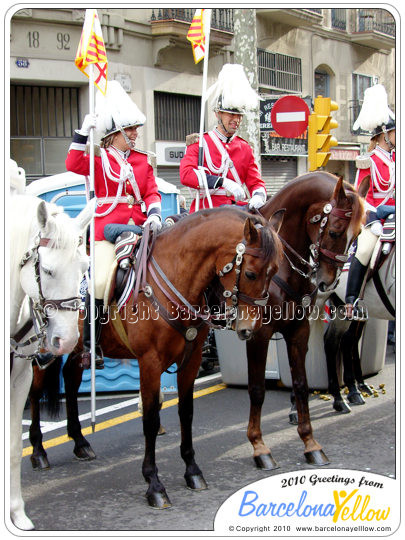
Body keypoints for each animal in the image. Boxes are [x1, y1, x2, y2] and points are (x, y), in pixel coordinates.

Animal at [28, 208, 282, 510]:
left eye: (275, 271)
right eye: (252, 273)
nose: (249, 328)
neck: (177, 275)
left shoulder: (191, 359)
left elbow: (186, 412)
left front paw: (192, 470)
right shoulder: (149, 362)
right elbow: (150, 418)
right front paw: (154, 484)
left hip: (76, 345)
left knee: (70, 377)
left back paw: (80, 442)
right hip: (43, 345)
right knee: (35, 389)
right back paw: (38, 450)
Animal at [243, 173, 362, 468]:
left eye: (357, 236)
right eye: (334, 232)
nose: (328, 282)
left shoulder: (298, 331)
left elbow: (301, 385)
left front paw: (310, 442)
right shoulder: (259, 335)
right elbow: (257, 389)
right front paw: (259, 447)